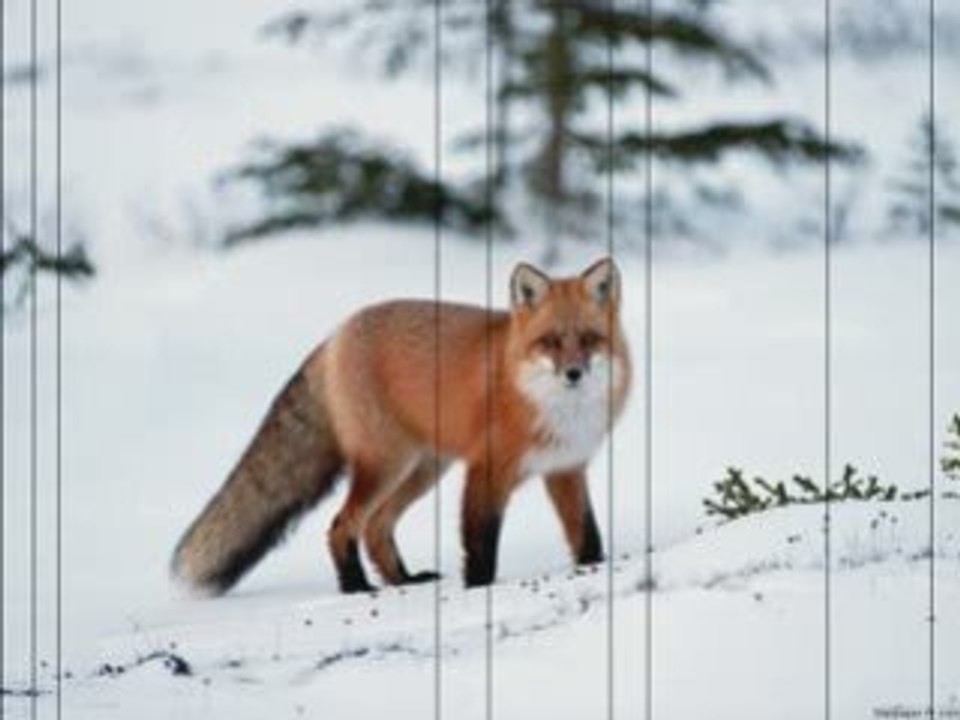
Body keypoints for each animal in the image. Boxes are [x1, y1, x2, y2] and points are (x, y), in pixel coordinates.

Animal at [172, 257, 632, 595]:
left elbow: (587, 534)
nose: (573, 374)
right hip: (386, 465)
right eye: (550, 342)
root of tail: (335, 334)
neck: (553, 408)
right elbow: (480, 543)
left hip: (423, 469)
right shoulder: (486, 469)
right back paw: (356, 587)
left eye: (589, 339)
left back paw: (403, 580)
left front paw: (594, 568)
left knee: (376, 527)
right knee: (342, 525)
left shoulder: (565, 469)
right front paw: (478, 589)